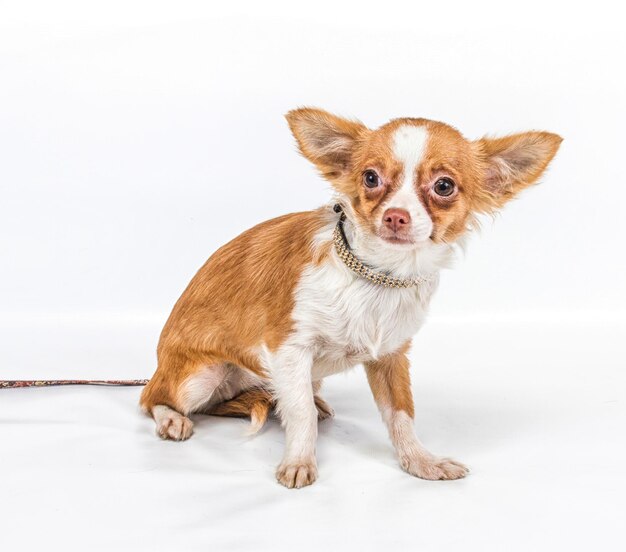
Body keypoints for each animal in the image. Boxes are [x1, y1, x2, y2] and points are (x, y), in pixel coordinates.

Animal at [140, 109, 560, 488]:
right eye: (370, 178)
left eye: (444, 186)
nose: (395, 216)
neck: (377, 276)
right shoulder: (288, 347)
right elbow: (301, 414)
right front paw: (299, 461)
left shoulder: (391, 356)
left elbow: (401, 414)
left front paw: (420, 462)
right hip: (200, 377)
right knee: (151, 397)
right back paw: (172, 418)